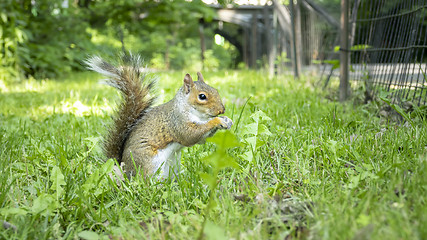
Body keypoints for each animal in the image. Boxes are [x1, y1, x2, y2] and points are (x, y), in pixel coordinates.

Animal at [85, 54, 232, 178]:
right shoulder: (177, 121)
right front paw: (216, 121)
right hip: (150, 163)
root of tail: (124, 168)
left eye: (216, 90)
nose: (222, 110)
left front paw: (226, 120)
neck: (197, 114)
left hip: (173, 163)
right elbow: (190, 135)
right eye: (202, 96)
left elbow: (202, 139)